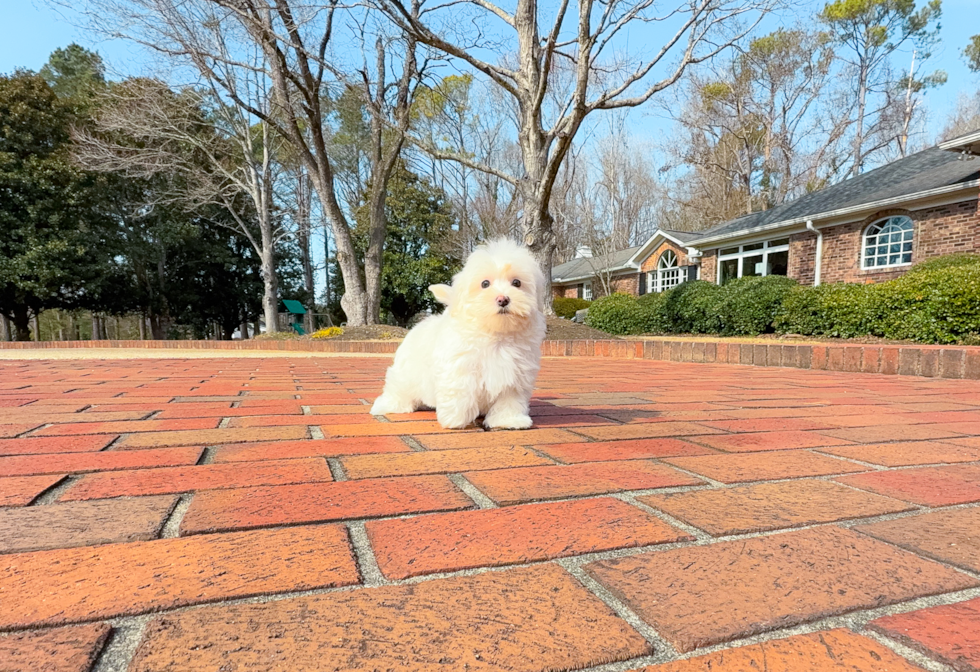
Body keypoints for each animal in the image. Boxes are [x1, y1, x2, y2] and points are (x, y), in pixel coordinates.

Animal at [372, 239, 548, 428]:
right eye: (485, 284)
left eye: (516, 283)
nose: (503, 299)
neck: (496, 333)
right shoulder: (459, 367)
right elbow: (460, 391)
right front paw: (455, 419)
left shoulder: (517, 373)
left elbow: (510, 399)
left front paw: (509, 420)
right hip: (406, 373)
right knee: (398, 387)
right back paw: (388, 405)